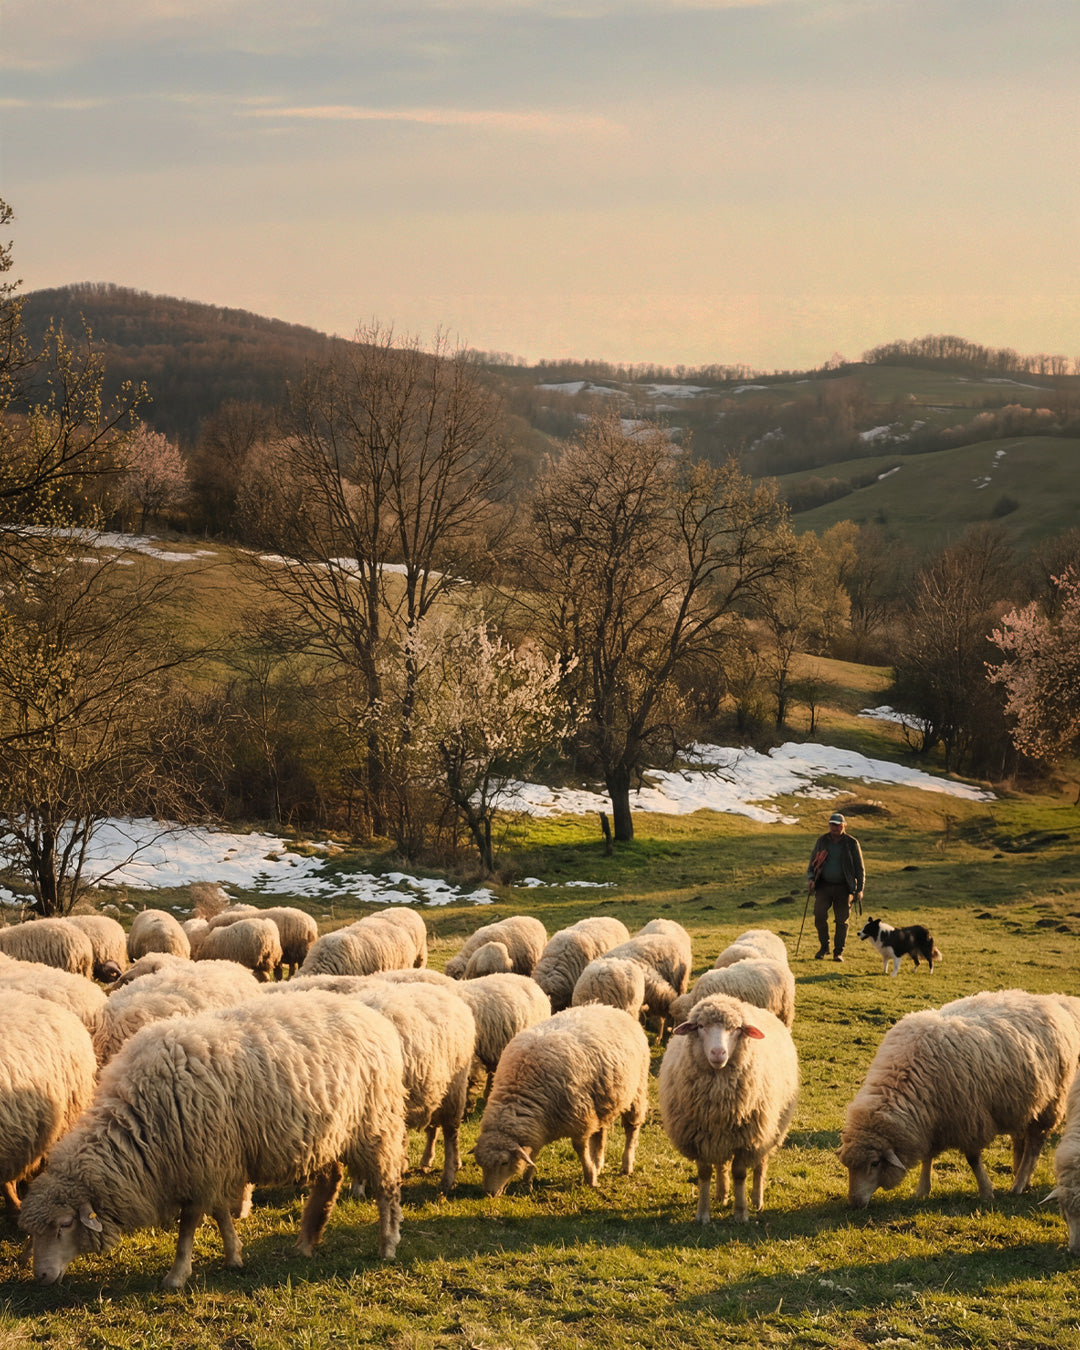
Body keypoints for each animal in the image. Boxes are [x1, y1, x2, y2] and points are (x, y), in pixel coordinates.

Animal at [20, 990, 409, 1288]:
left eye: (64, 1224)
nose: (41, 1277)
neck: (140, 1125)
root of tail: (372, 1017)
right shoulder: (215, 1161)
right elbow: (221, 1212)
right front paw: (234, 1255)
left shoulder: (203, 1162)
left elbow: (188, 1225)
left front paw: (177, 1275)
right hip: (329, 1134)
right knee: (330, 1180)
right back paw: (305, 1243)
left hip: (376, 1124)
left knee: (387, 1187)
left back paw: (388, 1245)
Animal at [474, 1003, 650, 1195]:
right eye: (480, 1164)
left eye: (504, 1162)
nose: (489, 1194)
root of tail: (613, 1008)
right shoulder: (539, 1125)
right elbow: (533, 1153)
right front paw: (527, 1181)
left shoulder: (581, 1119)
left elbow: (580, 1149)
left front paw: (590, 1178)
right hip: (604, 1100)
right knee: (600, 1134)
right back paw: (598, 1163)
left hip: (637, 1091)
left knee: (631, 1129)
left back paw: (626, 1165)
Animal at [659, 993, 799, 1223]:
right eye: (700, 1026)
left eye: (736, 1029)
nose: (718, 1053)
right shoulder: (698, 1137)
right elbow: (705, 1173)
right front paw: (703, 1213)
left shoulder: (747, 1139)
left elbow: (740, 1174)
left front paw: (741, 1213)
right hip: (718, 1137)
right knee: (721, 1164)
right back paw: (722, 1194)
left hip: (770, 1129)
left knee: (761, 1164)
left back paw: (757, 1199)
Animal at [839, 988, 1080, 1207]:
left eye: (874, 1164)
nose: (855, 1202)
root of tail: (1049, 1000)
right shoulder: (931, 1120)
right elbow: (927, 1157)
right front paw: (922, 1189)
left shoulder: (969, 1119)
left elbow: (972, 1159)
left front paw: (986, 1191)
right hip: (1022, 1105)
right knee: (1020, 1140)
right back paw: (1020, 1174)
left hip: (1050, 1103)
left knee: (1034, 1145)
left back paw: (1019, 1184)